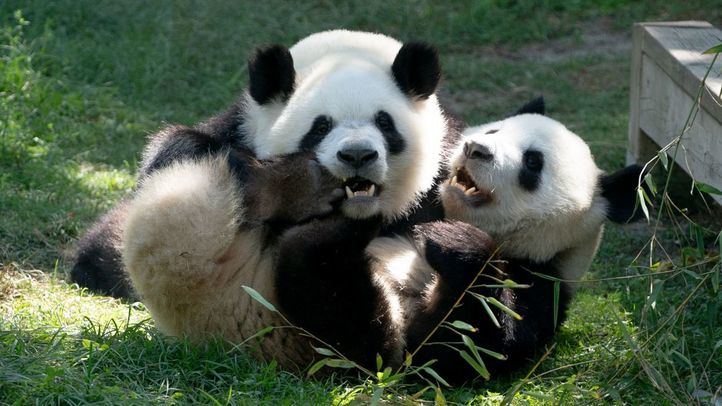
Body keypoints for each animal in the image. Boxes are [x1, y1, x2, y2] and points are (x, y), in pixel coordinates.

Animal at [367, 108, 646, 383]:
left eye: (532, 162)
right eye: (493, 131)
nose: (476, 148)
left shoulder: (543, 287)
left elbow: (460, 347)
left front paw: (455, 241)